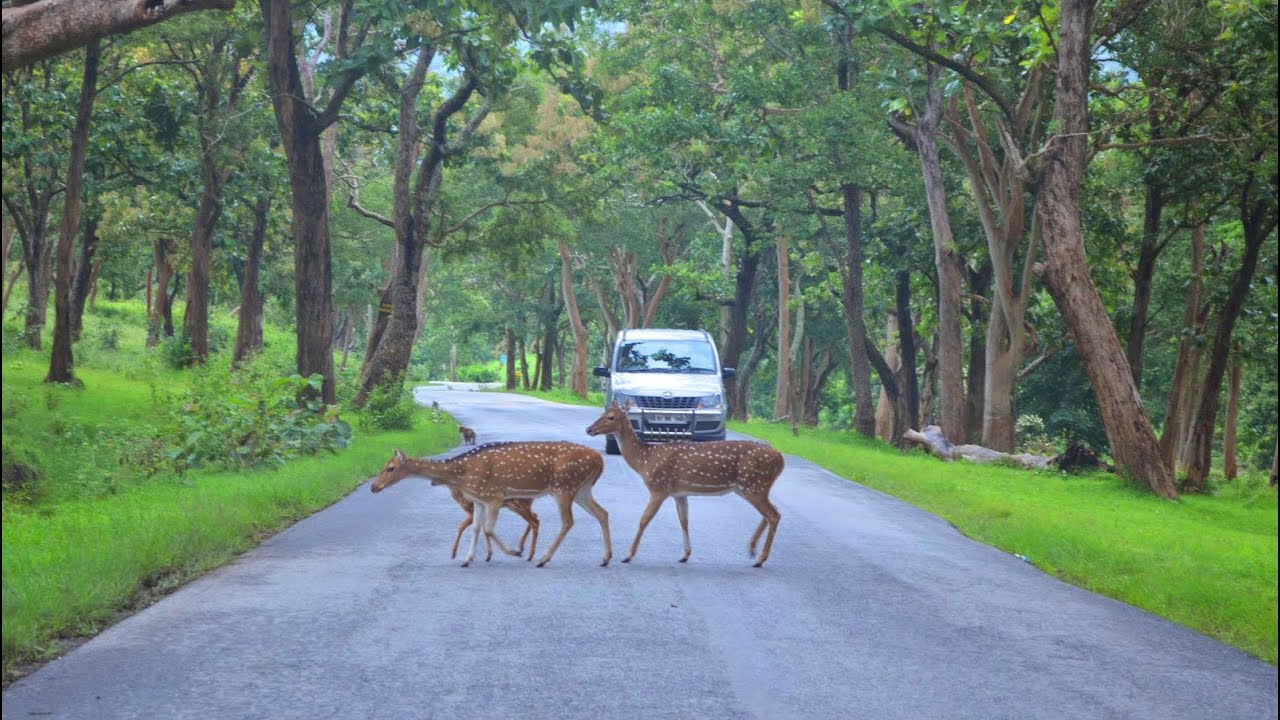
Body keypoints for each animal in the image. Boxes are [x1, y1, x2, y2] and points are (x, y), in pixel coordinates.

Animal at [373, 438, 611, 566]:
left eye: (390, 468)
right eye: (384, 466)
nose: (373, 487)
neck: (462, 473)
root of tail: (600, 460)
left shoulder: (494, 496)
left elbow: (487, 528)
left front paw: (514, 552)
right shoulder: (479, 500)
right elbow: (476, 528)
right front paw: (467, 559)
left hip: (564, 487)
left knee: (567, 521)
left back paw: (542, 559)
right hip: (581, 489)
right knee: (602, 513)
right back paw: (606, 558)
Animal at [586, 399, 783, 563]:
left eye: (611, 417)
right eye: (602, 412)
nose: (589, 429)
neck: (645, 460)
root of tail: (780, 459)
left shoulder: (659, 488)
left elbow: (644, 519)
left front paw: (628, 555)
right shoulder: (679, 493)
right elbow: (684, 521)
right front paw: (685, 555)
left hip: (754, 485)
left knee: (773, 514)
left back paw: (761, 558)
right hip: (752, 487)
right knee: (770, 512)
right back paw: (752, 549)